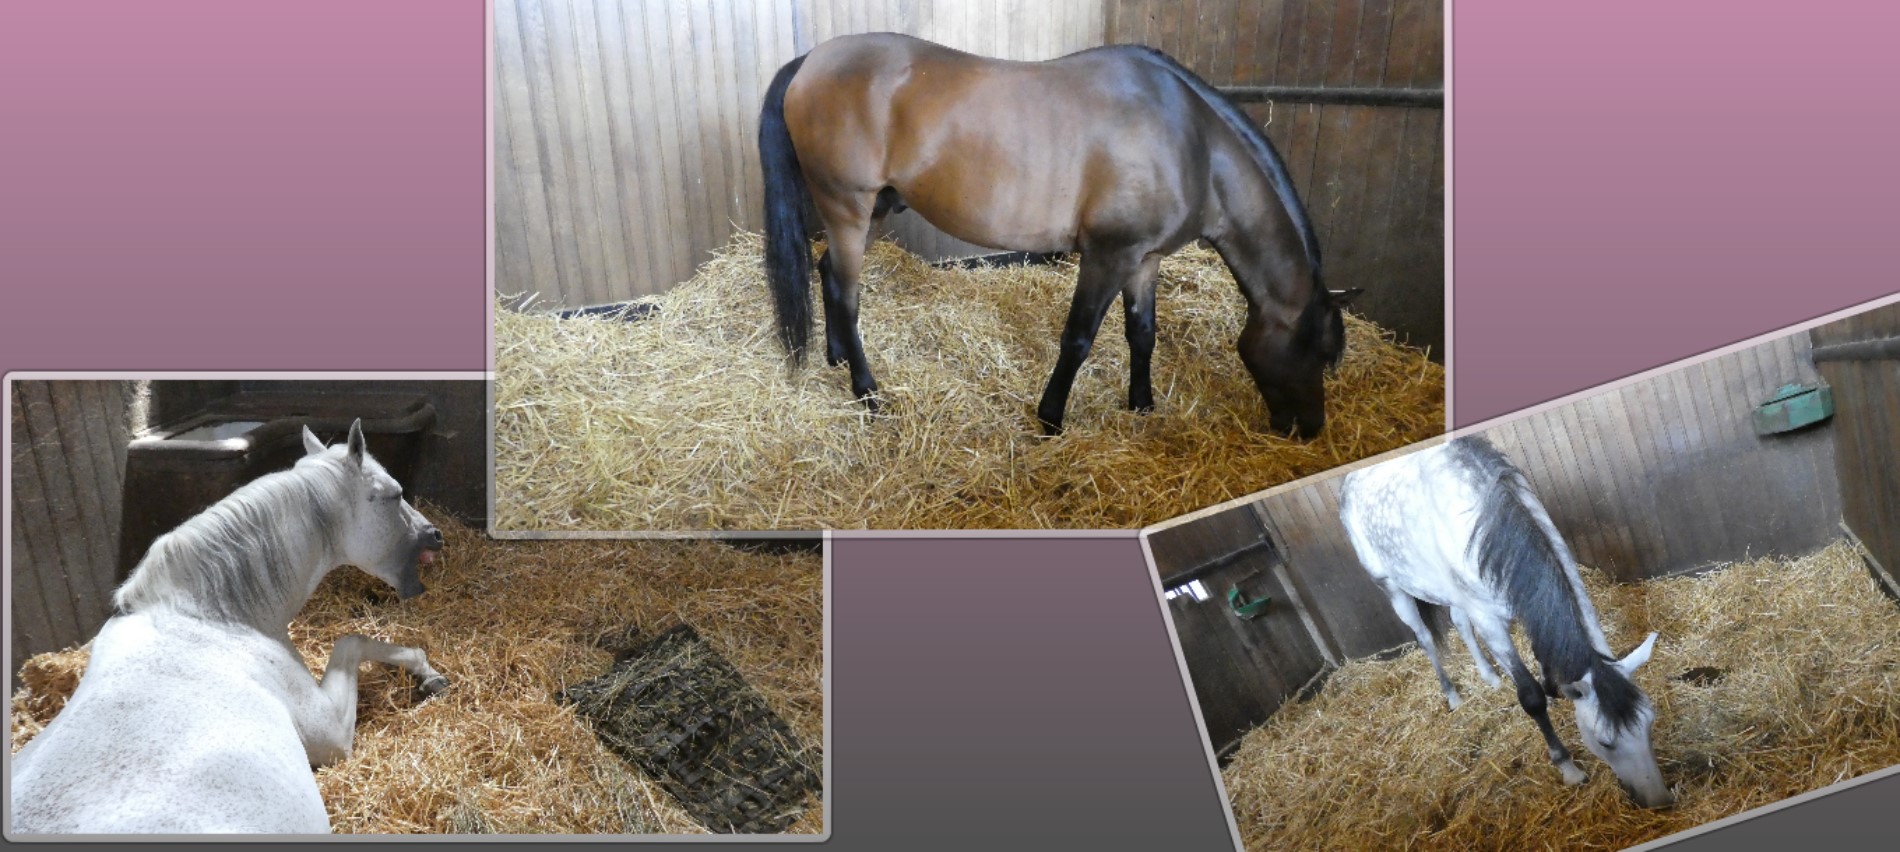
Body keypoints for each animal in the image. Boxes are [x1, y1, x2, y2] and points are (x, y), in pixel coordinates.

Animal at [9, 421, 448, 834]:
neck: (213, 619)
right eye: (394, 494)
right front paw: (427, 671)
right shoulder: (331, 735)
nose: (436, 534)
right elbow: (351, 640)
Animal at [759, 33, 1362, 438]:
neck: (1192, 144)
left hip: (876, 210)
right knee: (846, 293)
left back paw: (837, 359)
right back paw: (867, 393)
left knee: (827, 273)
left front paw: (1142, 406)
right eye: (1318, 350)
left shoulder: (1144, 259)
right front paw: (1051, 419)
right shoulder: (1107, 256)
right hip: (849, 207)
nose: (1309, 428)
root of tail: (810, 60)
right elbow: (1078, 339)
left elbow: (1143, 333)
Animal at [1337, 436, 1675, 808]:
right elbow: (1530, 697)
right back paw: (1453, 696)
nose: (1659, 800)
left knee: (1459, 622)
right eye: (1605, 742)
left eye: (1650, 722)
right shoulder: (1490, 622)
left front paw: (1552, 688)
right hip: (1394, 590)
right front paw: (1568, 768)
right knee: (1425, 638)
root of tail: (1350, 480)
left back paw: (1490, 677)